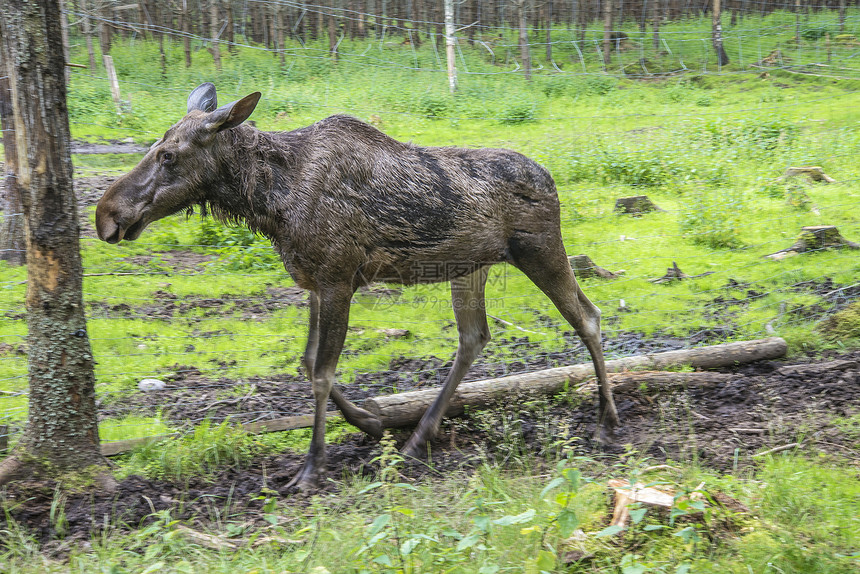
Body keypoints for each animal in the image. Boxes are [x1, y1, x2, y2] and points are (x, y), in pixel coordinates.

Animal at [95, 83, 620, 492]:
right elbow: (308, 363)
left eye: (169, 155)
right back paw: (418, 439)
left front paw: (312, 467)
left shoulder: (336, 279)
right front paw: (371, 422)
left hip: (539, 249)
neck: (268, 203)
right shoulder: (313, 283)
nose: (106, 215)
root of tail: (551, 181)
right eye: (155, 146)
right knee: (476, 336)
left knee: (587, 318)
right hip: (470, 267)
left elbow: (322, 373)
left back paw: (607, 422)